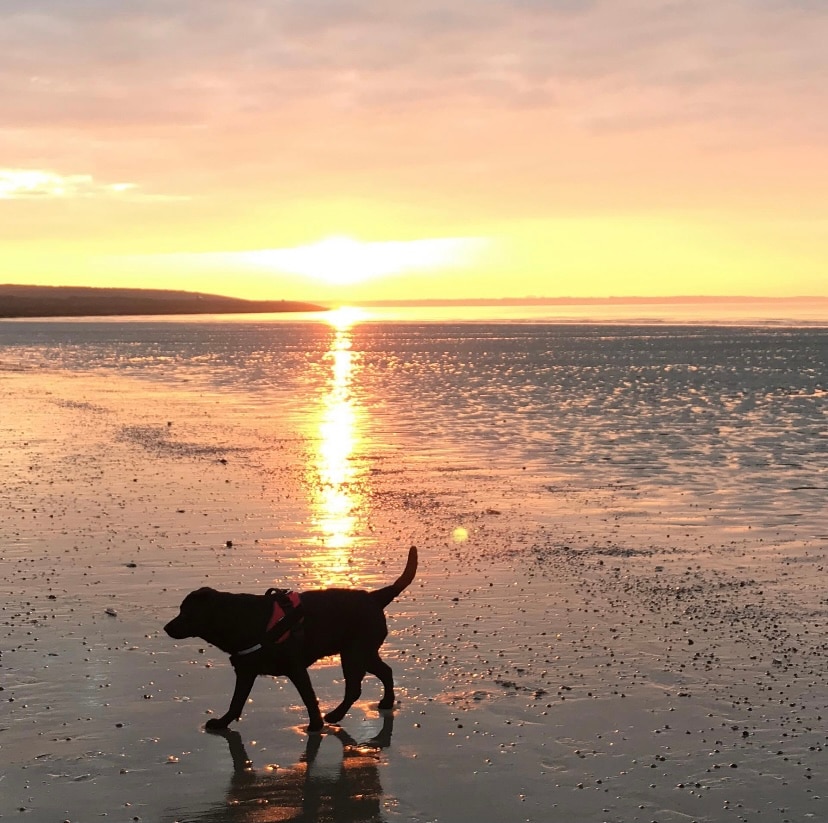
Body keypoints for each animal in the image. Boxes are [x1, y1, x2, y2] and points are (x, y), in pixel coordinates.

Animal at [164, 546, 417, 732]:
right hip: (363, 653)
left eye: (186, 613)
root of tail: (375, 597)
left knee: (355, 688)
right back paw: (386, 702)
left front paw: (315, 726)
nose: (166, 627)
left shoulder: (295, 668)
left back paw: (335, 714)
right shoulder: (245, 671)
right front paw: (222, 722)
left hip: (354, 654)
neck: (240, 618)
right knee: (385, 671)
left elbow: (309, 698)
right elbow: (236, 703)